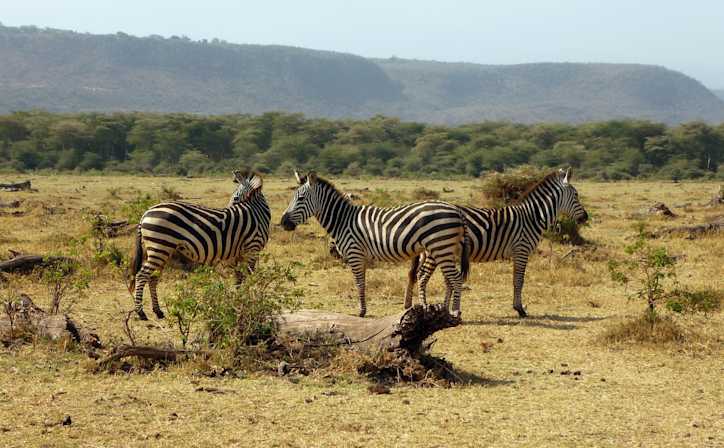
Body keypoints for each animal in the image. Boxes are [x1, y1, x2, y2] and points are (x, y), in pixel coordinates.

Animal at [127, 170, 271, 320]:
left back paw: (158, 311)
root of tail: (145, 213)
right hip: (159, 248)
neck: (256, 212)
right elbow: (249, 277)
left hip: (162, 250)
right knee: (142, 275)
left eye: (235, 198)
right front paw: (248, 301)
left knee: (153, 278)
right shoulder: (252, 248)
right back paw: (141, 312)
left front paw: (238, 302)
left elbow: (239, 279)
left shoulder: (238, 254)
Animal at [280, 171, 470, 318]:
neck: (343, 220)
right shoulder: (361, 256)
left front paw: (361, 312)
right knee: (450, 278)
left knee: (456, 278)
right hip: (445, 249)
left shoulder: (354, 254)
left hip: (440, 246)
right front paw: (363, 309)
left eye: (301, 198)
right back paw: (445, 310)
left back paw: (455, 312)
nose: (283, 223)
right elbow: (363, 282)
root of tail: (457, 210)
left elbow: (359, 283)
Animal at [405, 168, 588, 318]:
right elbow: (519, 280)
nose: (585, 217)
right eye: (576, 195)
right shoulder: (521, 250)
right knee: (423, 276)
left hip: (438, 251)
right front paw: (519, 309)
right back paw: (425, 308)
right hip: (436, 250)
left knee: (424, 276)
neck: (531, 217)